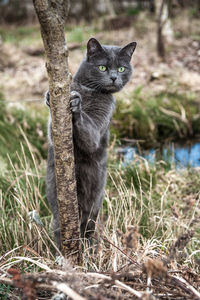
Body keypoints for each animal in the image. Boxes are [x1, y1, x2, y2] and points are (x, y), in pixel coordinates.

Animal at [45, 38, 136, 248]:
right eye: (102, 67)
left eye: (121, 68)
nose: (113, 78)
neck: (88, 92)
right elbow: (52, 132)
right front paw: (49, 97)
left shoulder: (99, 125)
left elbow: (90, 136)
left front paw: (76, 105)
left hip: (95, 199)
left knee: (89, 225)